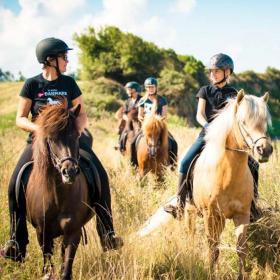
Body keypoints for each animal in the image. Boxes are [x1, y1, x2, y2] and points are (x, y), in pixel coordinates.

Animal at [25, 101, 93, 280]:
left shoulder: (73, 232)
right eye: (51, 139)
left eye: (76, 136)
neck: (57, 197)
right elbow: (48, 267)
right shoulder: (42, 233)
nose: (69, 171)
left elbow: (65, 270)